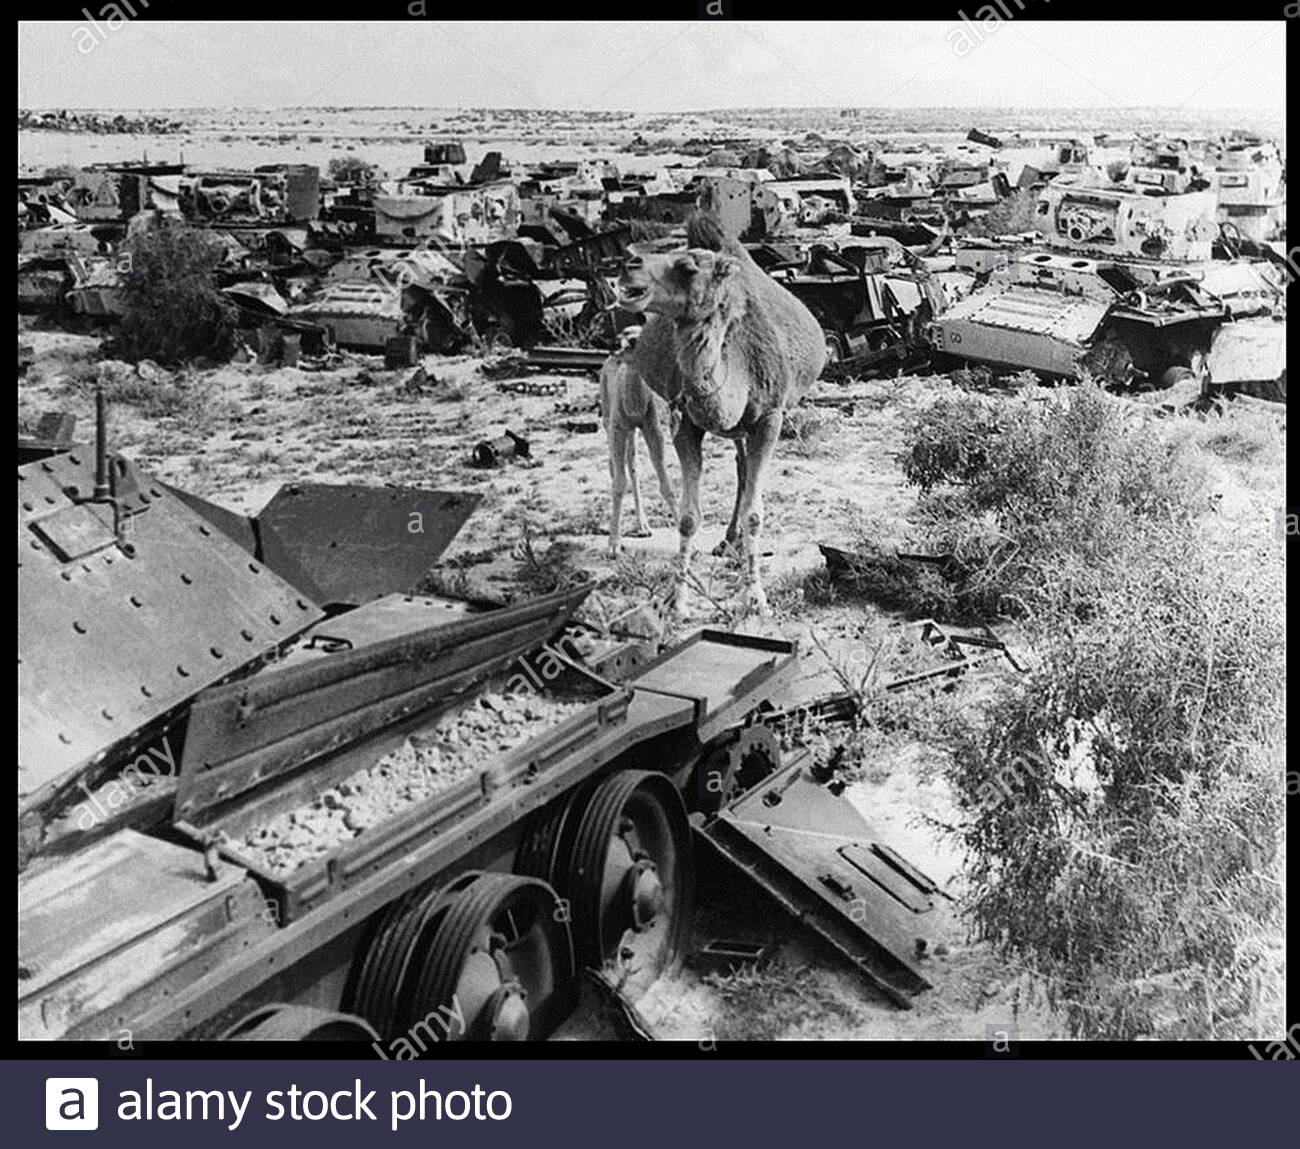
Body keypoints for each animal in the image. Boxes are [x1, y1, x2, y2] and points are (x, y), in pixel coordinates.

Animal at [598, 324, 681, 558]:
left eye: (635, 339)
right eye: (620, 336)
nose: (613, 346)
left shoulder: (652, 429)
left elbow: (666, 484)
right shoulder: (617, 429)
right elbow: (619, 483)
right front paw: (614, 545)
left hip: (632, 432)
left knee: (632, 465)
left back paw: (642, 526)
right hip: (608, 419)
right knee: (614, 467)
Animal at [616, 210, 821, 616]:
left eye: (687, 267)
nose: (630, 265)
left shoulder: (770, 418)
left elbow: (755, 514)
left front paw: (756, 598)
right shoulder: (685, 420)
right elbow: (687, 518)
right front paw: (676, 600)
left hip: (753, 426)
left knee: (745, 473)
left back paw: (736, 545)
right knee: (741, 469)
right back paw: (729, 542)